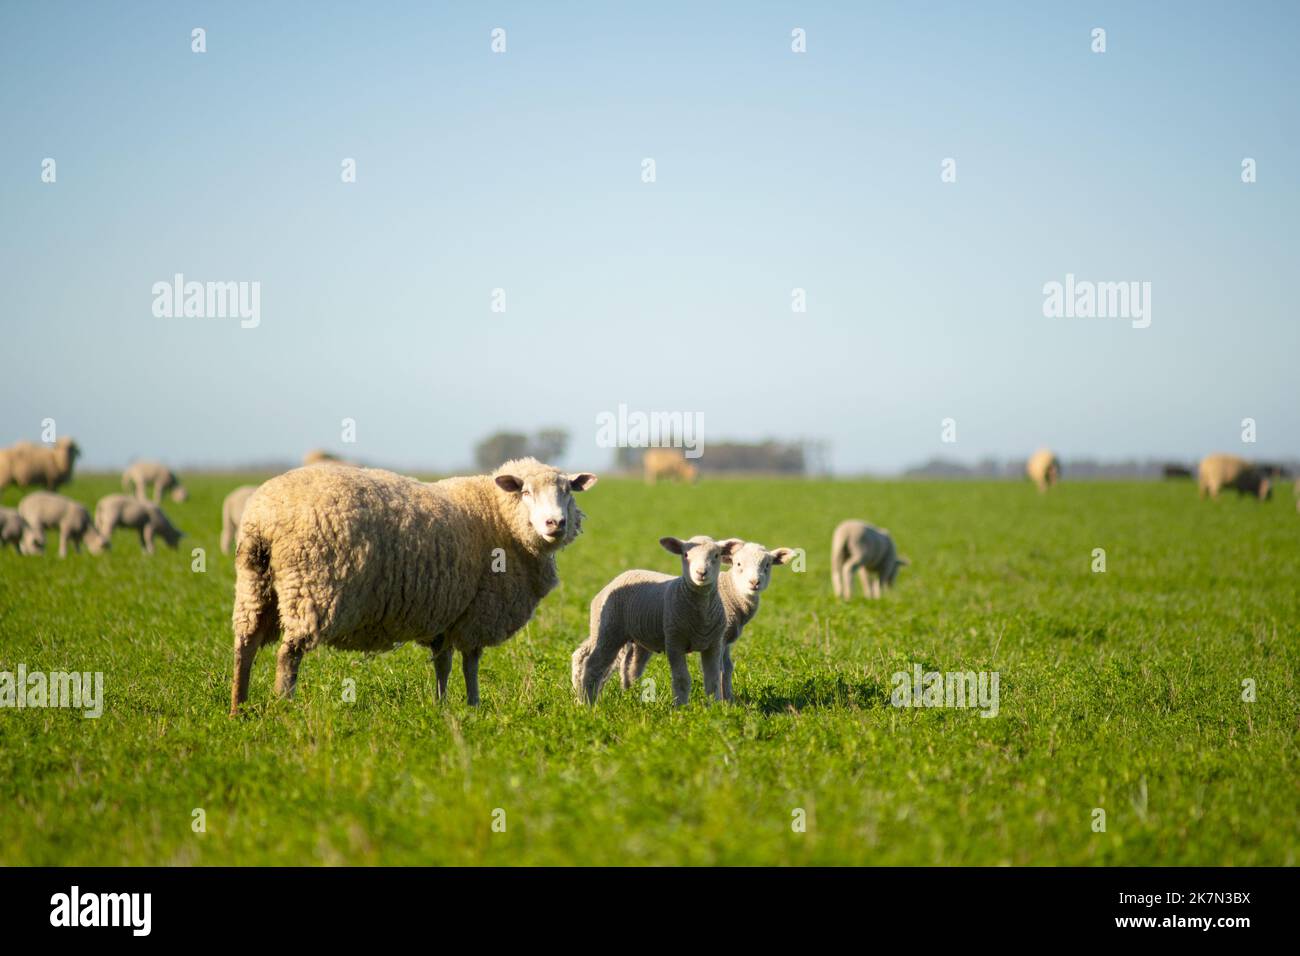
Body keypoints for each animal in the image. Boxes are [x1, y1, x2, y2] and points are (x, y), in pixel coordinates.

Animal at [229, 458, 597, 715]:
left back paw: (238, 709)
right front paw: (474, 705)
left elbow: (443, 663)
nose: (555, 523)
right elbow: (471, 663)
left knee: (245, 646)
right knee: (287, 655)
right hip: (313, 588)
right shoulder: (478, 611)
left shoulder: (448, 614)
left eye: (568, 492)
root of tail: (264, 517)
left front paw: (441, 704)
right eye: (526, 492)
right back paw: (284, 707)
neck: (498, 517)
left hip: (254, 584)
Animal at [571, 535, 742, 706]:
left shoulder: (714, 644)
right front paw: (681, 708)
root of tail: (620, 577)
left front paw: (716, 707)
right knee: (593, 665)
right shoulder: (674, 642)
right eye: (686, 555)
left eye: (716, 555)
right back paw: (587, 703)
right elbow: (682, 679)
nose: (701, 573)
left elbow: (713, 679)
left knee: (631, 667)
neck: (701, 615)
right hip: (608, 630)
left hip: (638, 638)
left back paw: (631, 696)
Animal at [615, 540, 797, 702]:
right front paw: (723, 701)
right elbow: (721, 669)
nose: (754, 582)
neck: (733, 592)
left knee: (631, 665)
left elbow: (728, 667)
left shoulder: (725, 639)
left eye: (767, 565)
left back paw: (629, 693)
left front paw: (730, 699)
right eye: (738, 564)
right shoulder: (720, 637)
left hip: (642, 637)